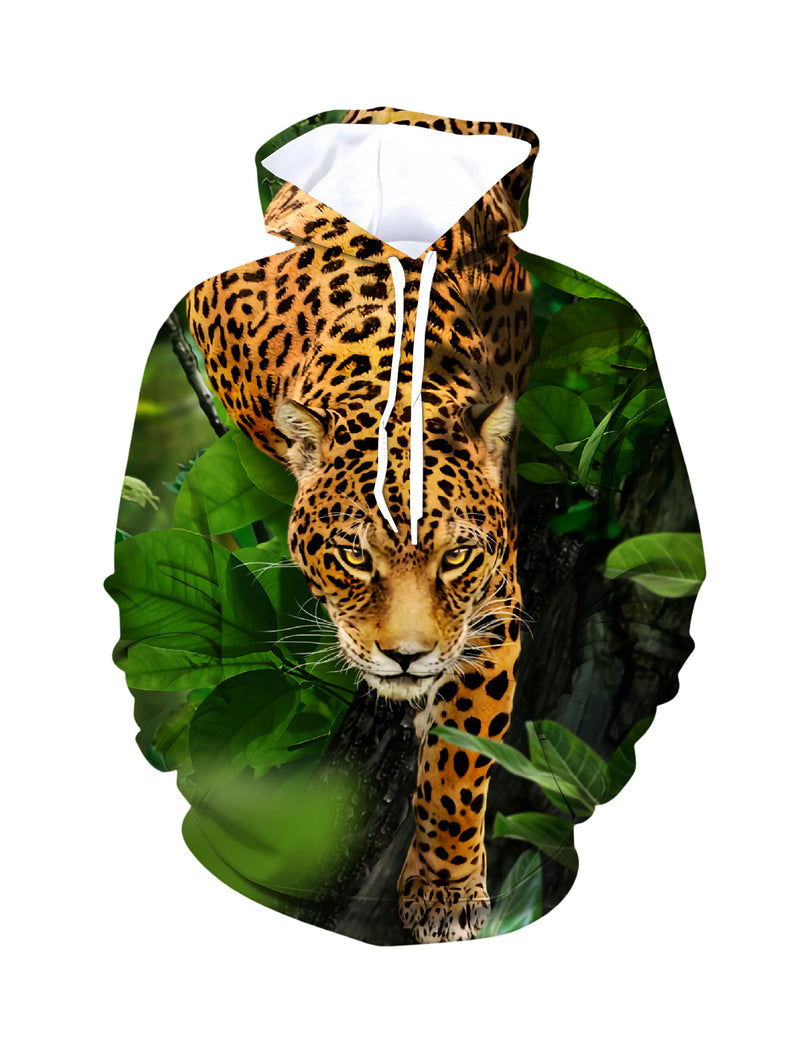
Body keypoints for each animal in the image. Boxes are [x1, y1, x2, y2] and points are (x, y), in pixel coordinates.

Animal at [187, 108, 537, 942]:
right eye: (354, 555)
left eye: (455, 558)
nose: (406, 656)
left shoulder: (492, 604)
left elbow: (462, 758)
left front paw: (444, 889)